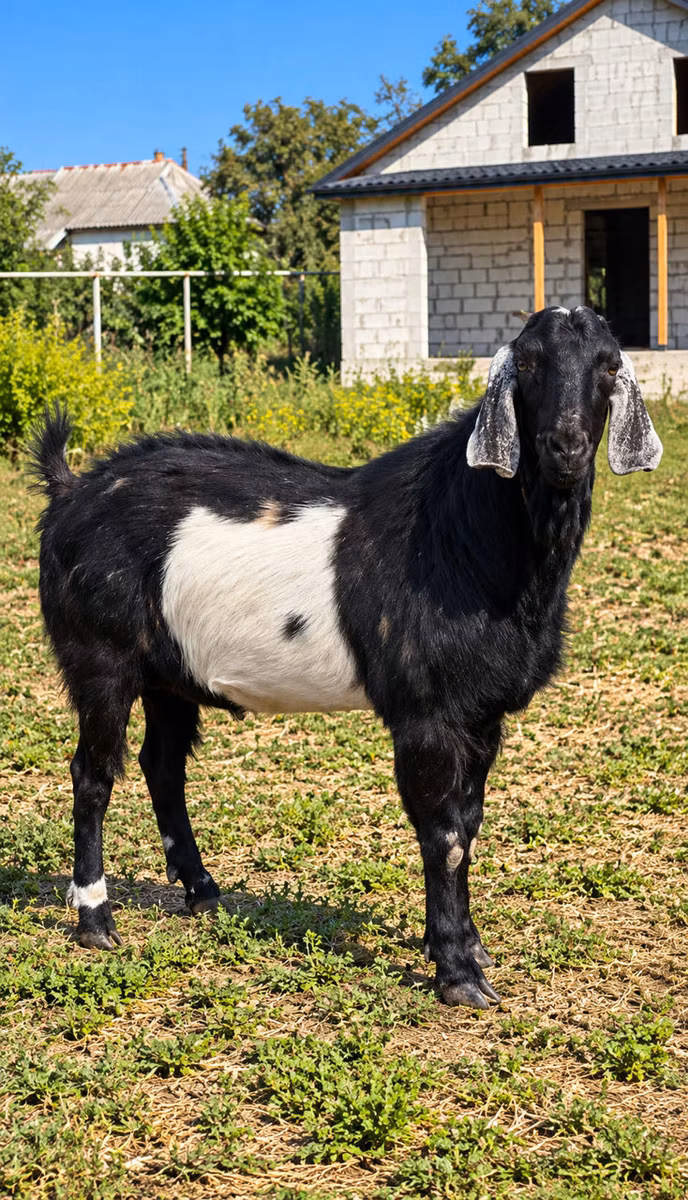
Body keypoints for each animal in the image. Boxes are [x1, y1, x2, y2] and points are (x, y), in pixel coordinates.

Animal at [30, 306, 662, 1008]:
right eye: (525, 362)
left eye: (608, 363)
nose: (565, 446)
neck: (460, 534)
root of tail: (69, 492)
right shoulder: (426, 713)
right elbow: (443, 833)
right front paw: (458, 974)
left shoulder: (482, 712)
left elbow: (468, 825)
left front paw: (464, 946)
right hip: (99, 655)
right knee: (93, 773)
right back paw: (95, 920)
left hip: (169, 673)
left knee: (161, 766)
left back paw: (203, 891)